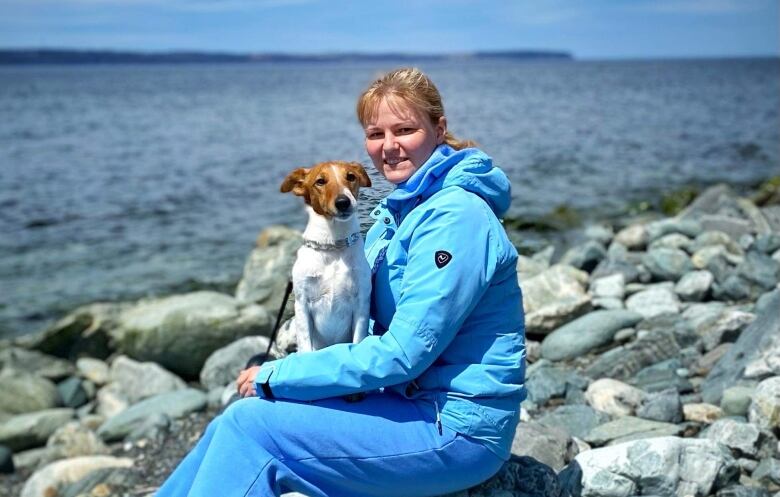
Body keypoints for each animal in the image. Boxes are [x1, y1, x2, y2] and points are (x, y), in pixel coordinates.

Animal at [282, 162, 374, 352]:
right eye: (320, 181)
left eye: (351, 176)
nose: (343, 202)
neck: (333, 246)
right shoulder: (302, 304)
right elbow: (305, 346)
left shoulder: (361, 303)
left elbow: (358, 340)